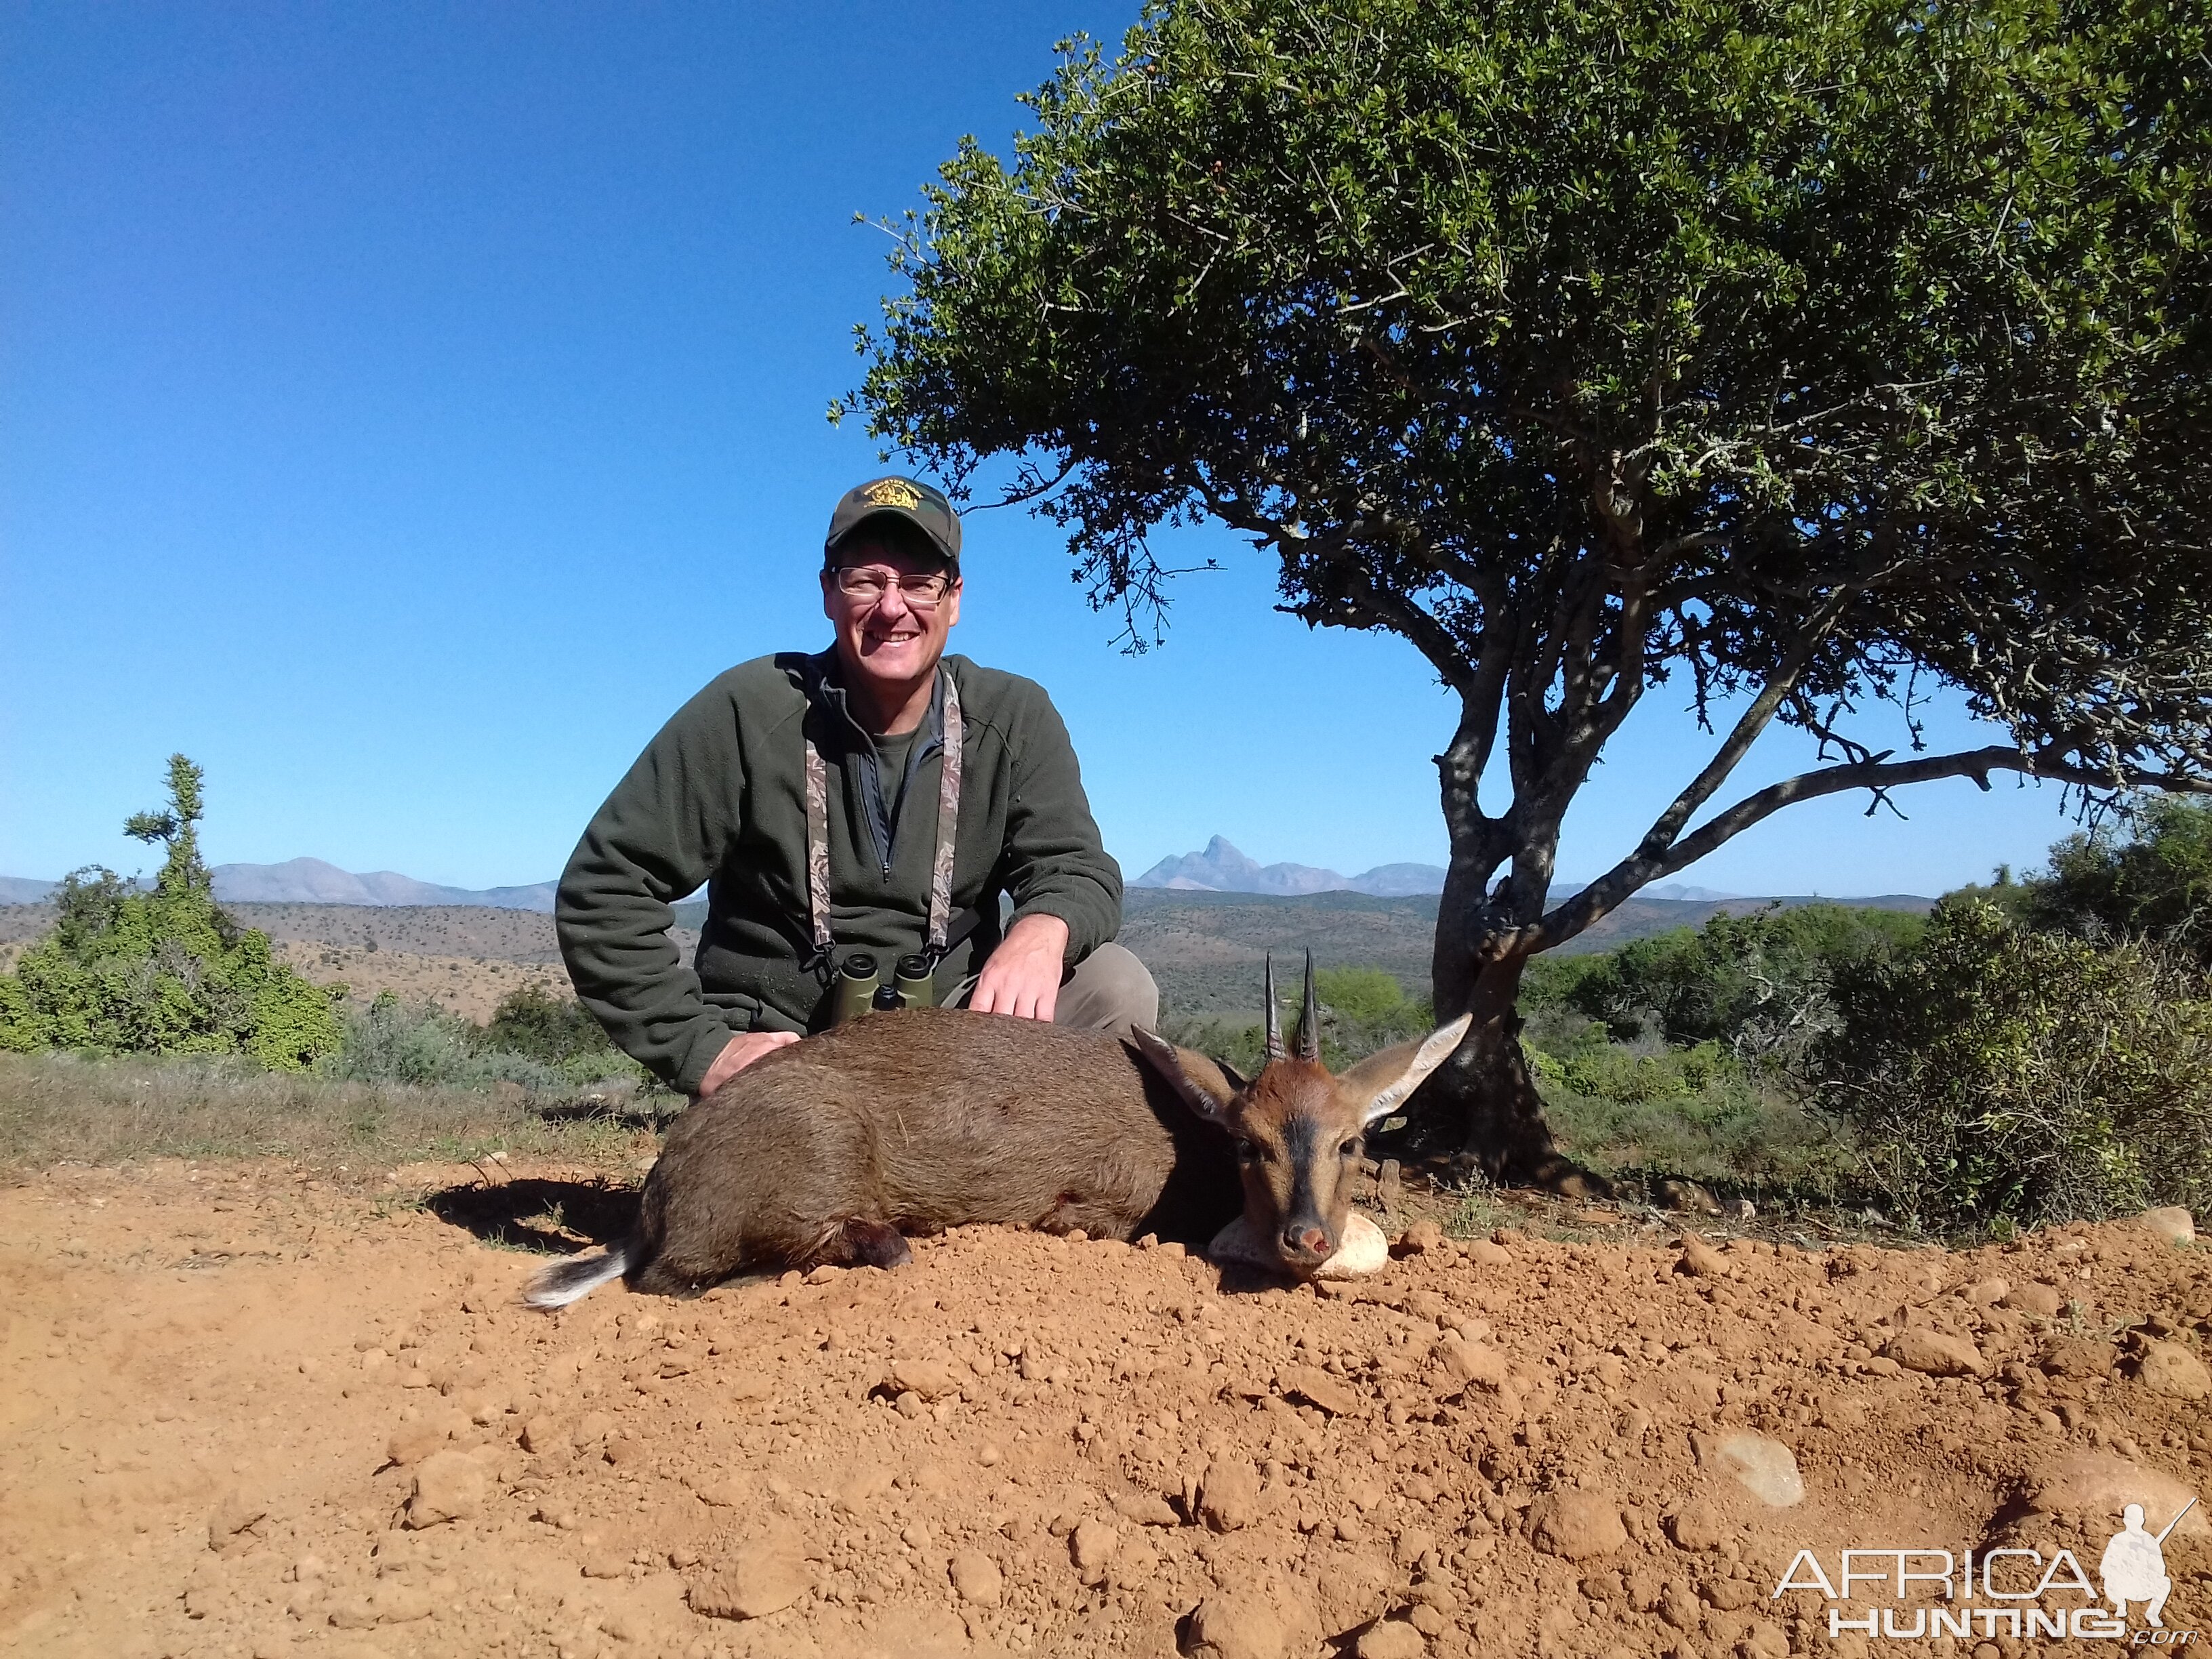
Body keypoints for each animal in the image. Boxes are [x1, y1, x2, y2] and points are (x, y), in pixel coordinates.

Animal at [522, 960, 1469, 1309]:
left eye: (1353, 1141)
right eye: (1250, 1143)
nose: (1305, 1237)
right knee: (675, 1279)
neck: (1188, 1145)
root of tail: (659, 1190)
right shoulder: (1102, 1213)